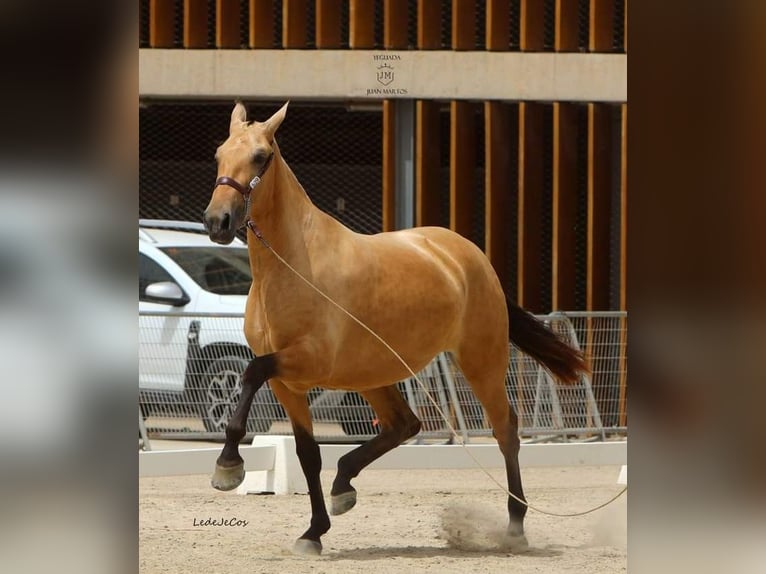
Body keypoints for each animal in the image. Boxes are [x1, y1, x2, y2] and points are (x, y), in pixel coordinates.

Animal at [202, 101, 588, 556]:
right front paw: (313, 532)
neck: (293, 265)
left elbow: (250, 372)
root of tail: (471, 255)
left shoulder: (308, 363)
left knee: (505, 429)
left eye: (260, 156)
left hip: (480, 362)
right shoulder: (288, 384)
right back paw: (343, 485)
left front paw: (228, 467)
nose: (217, 221)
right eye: (218, 154)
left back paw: (514, 527)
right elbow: (307, 453)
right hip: (372, 375)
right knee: (405, 424)